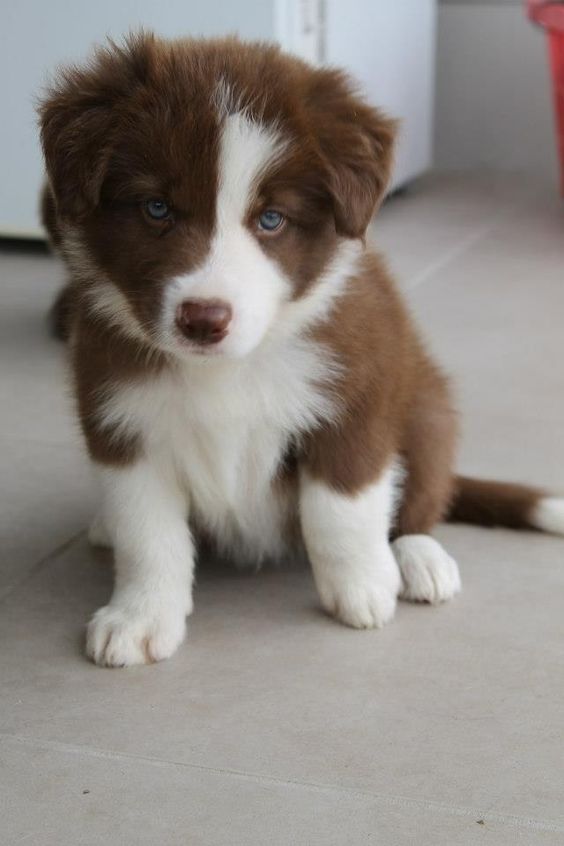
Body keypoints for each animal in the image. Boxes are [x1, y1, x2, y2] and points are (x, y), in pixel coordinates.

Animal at [39, 33, 564, 668]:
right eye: (156, 208)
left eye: (272, 219)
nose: (203, 319)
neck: (228, 367)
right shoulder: (121, 419)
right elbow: (148, 533)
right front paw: (139, 618)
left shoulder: (357, 398)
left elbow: (340, 509)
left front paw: (363, 588)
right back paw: (103, 527)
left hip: (427, 409)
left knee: (423, 497)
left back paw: (419, 559)